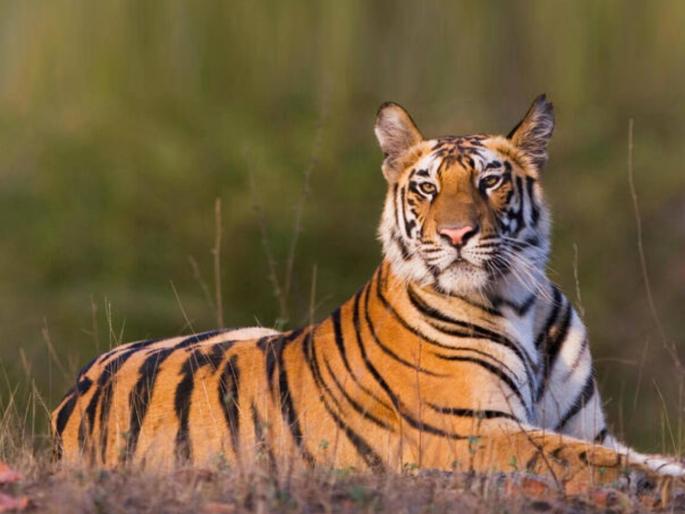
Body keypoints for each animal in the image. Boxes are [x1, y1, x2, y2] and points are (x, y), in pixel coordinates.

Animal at [52, 95, 684, 490]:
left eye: (490, 181)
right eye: (427, 188)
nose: (457, 235)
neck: (518, 303)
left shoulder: (586, 425)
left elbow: (624, 452)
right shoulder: (473, 430)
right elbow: (594, 461)